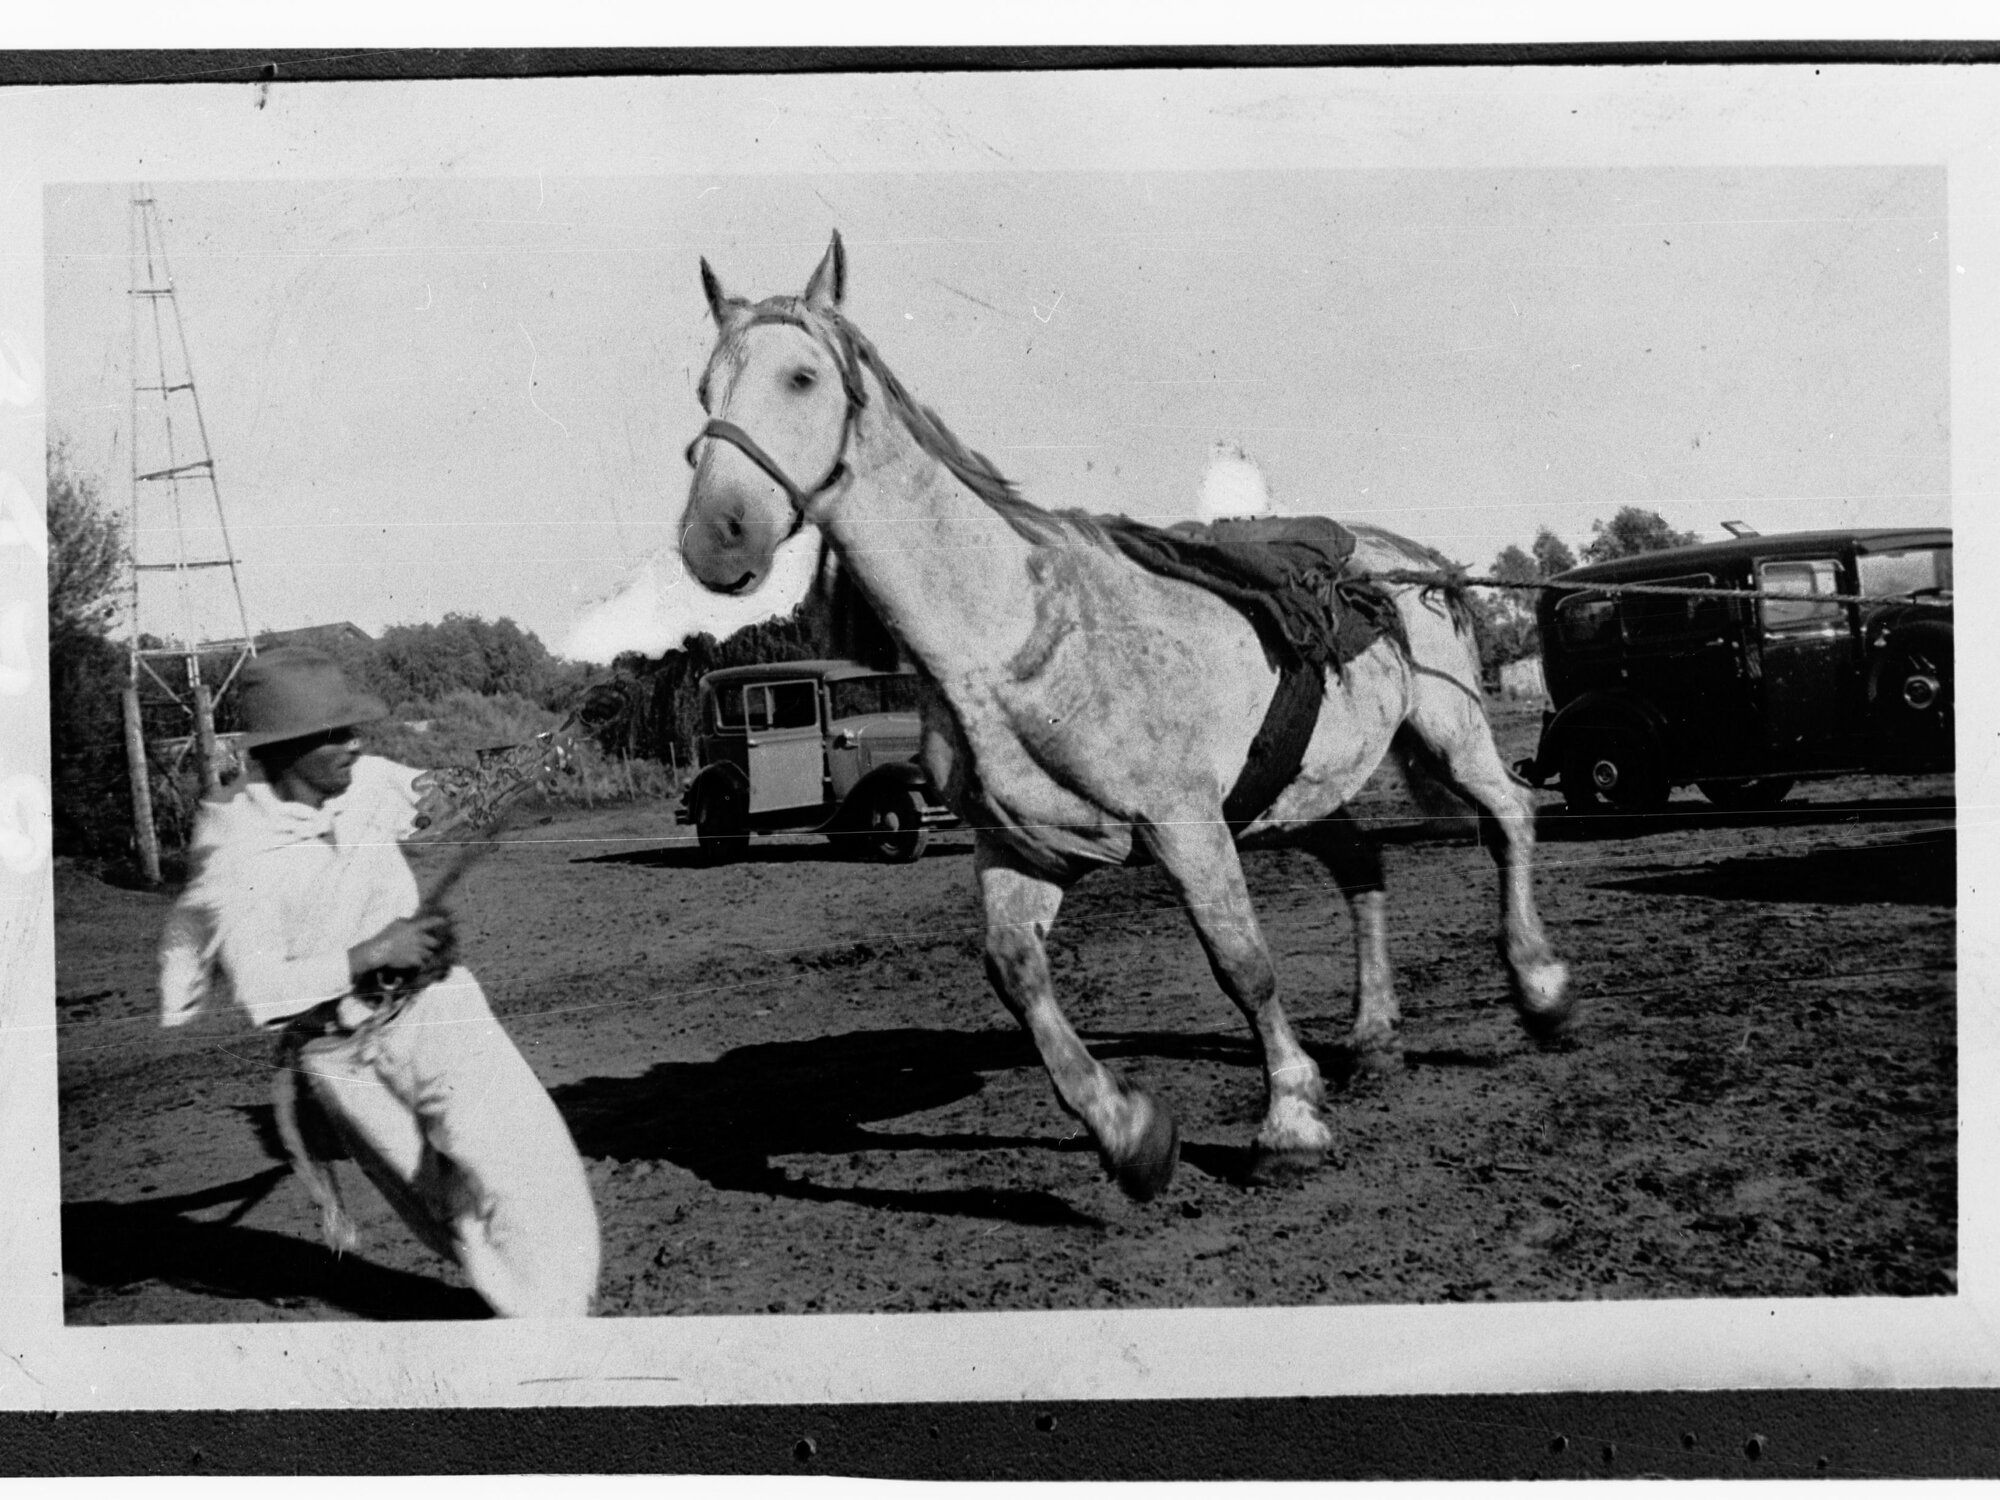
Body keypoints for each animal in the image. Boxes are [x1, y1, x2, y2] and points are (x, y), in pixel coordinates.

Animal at [677, 232, 1572, 1201]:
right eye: (704, 389)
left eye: (802, 377)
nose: (715, 536)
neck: (1013, 641)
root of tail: (1413, 562)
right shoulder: (1025, 845)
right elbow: (1016, 973)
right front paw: (1130, 1134)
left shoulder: (1184, 823)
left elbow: (1241, 962)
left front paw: (1289, 1123)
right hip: (1303, 789)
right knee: (1363, 866)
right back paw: (1374, 1041)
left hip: (1449, 736)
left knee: (1510, 817)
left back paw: (1541, 991)